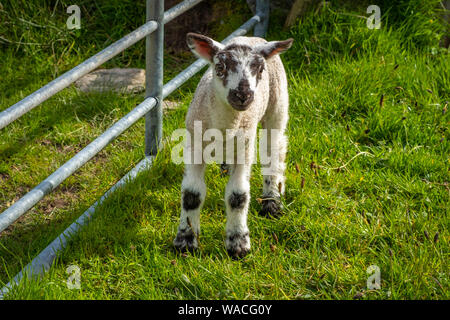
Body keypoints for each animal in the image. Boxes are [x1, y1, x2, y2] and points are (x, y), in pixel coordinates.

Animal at [171, 32, 292, 258]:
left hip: (278, 103)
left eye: (260, 70)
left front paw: (238, 244)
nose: (243, 95)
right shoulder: (195, 146)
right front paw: (185, 241)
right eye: (220, 67)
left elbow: (238, 196)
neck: (225, 127)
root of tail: (255, 37)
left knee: (274, 149)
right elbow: (192, 194)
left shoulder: (244, 150)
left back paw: (272, 201)